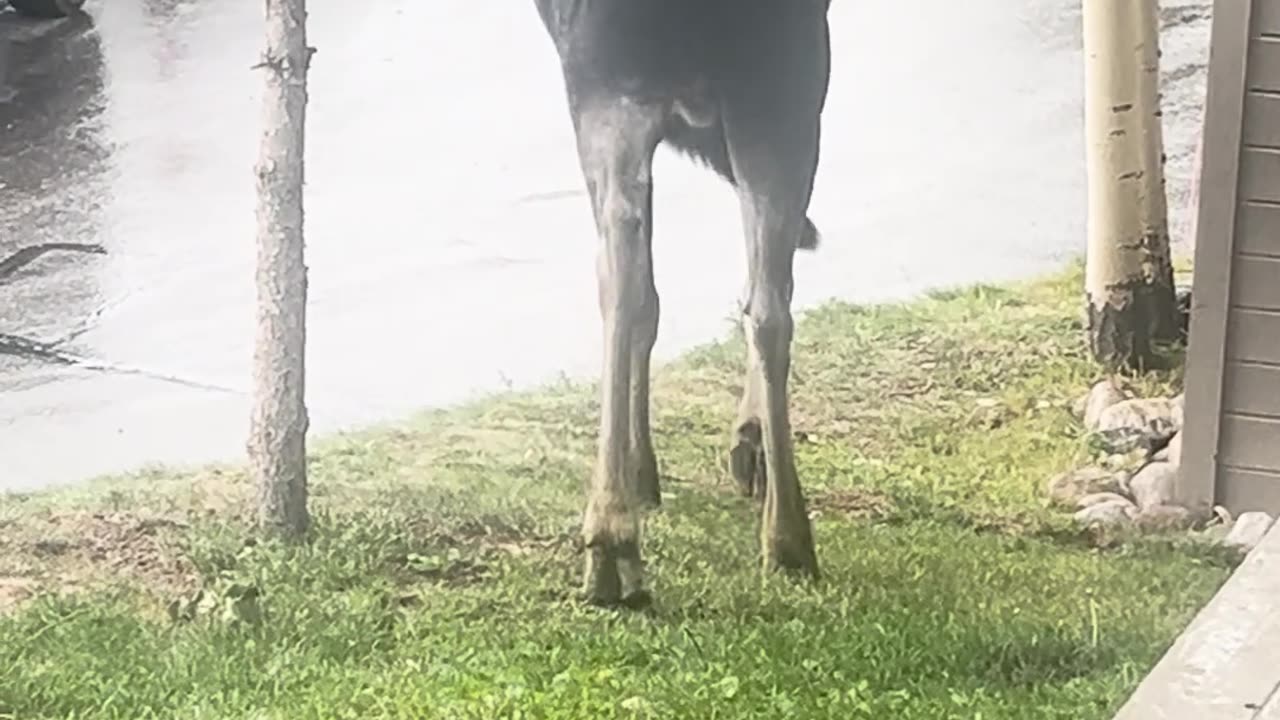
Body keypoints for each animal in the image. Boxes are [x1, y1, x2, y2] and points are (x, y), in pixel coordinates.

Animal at [535, 0, 834, 604]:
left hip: (602, 72)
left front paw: (644, 465)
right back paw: (787, 536)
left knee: (622, 264)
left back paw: (612, 537)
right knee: (766, 299)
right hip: (781, 78)